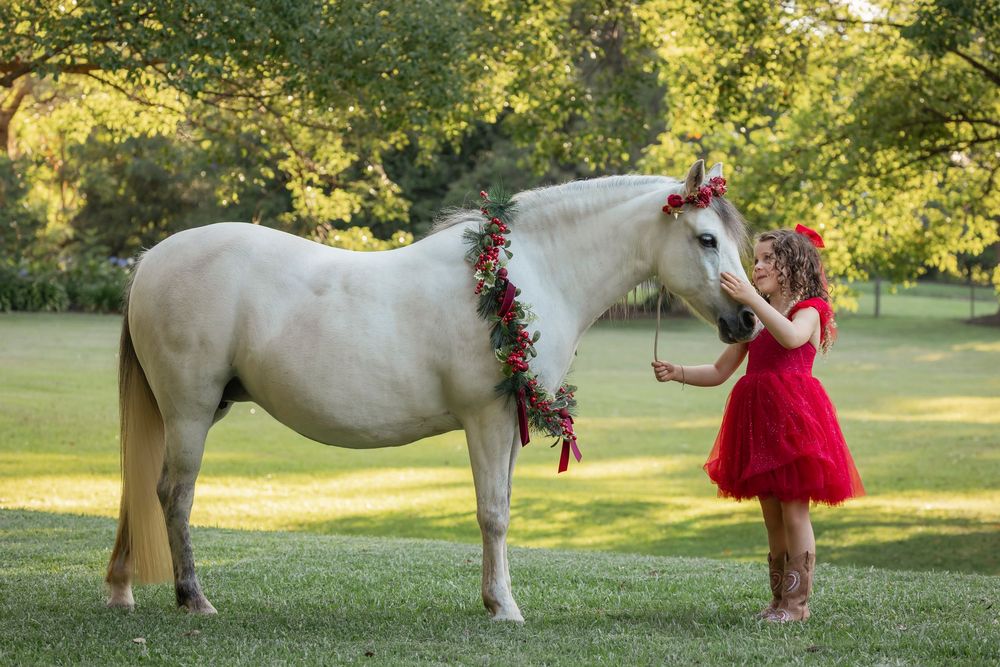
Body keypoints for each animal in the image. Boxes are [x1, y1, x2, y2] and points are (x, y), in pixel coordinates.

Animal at [106, 159, 757, 622]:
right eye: (706, 239)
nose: (748, 320)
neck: (523, 272)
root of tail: (152, 257)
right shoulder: (488, 419)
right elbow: (492, 512)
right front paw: (505, 608)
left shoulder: (510, 424)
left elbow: (502, 506)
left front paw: (495, 599)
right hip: (190, 411)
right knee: (174, 495)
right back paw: (193, 598)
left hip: (191, 411)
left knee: (140, 488)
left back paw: (120, 589)